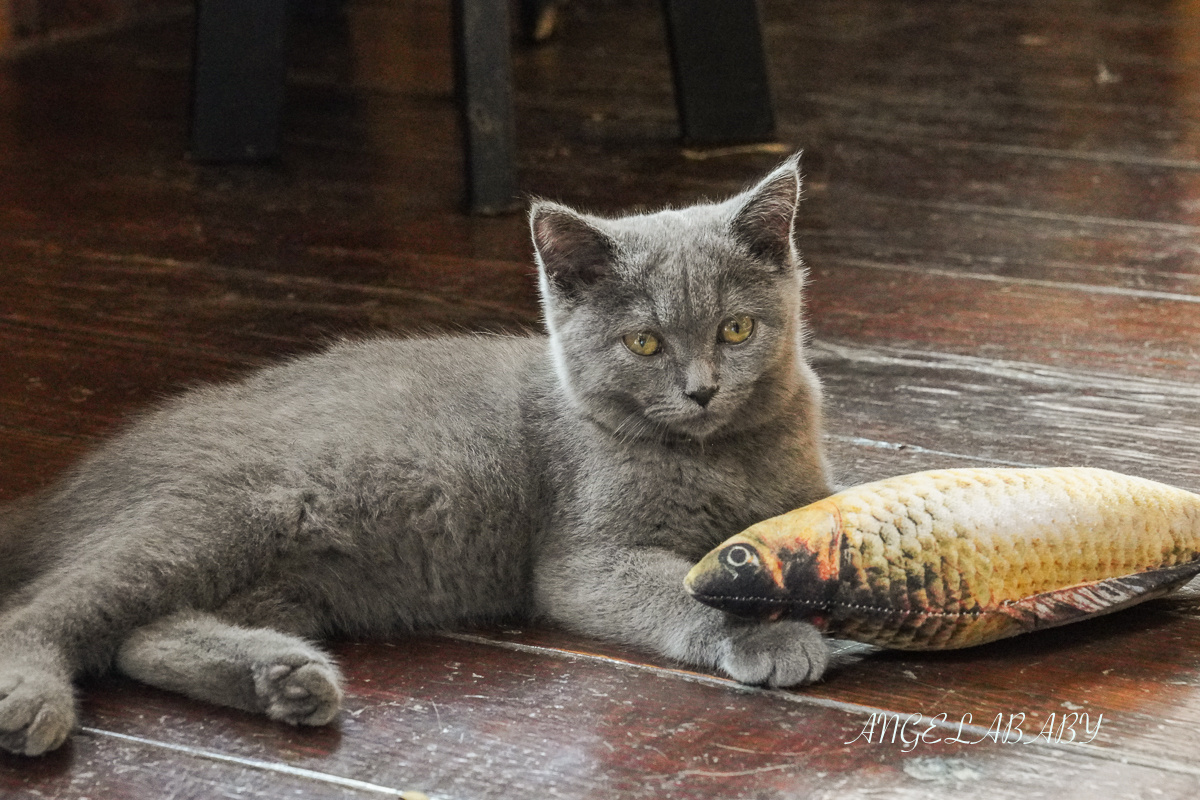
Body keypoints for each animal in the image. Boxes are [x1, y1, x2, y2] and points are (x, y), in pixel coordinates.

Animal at [0, 155, 825, 758]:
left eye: (737, 329)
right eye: (644, 343)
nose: (701, 390)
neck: (715, 454)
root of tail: (63, 486)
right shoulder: (587, 558)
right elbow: (685, 589)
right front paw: (765, 635)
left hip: (286, 580)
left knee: (139, 637)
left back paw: (284, 679)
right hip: (223, 513)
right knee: (42, 608)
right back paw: (34, 698)